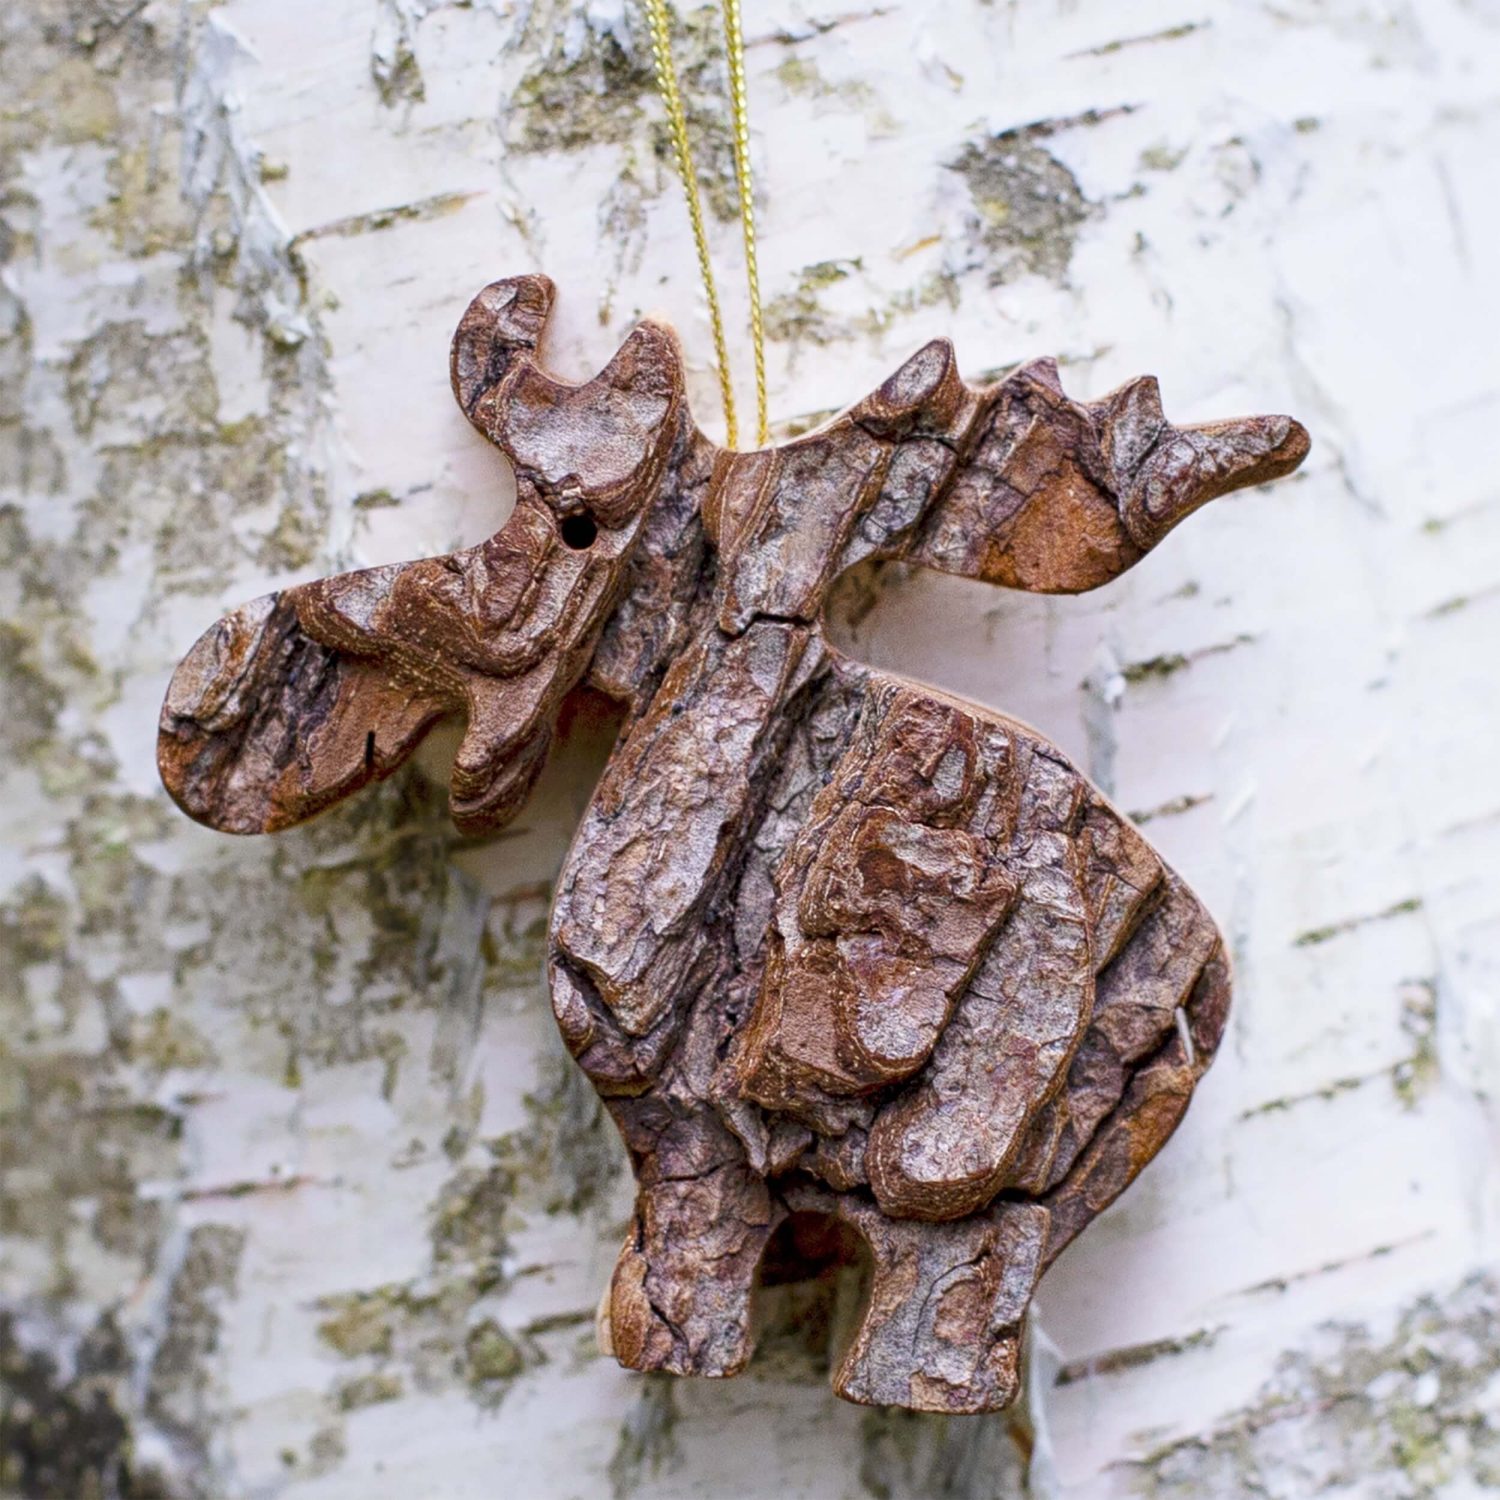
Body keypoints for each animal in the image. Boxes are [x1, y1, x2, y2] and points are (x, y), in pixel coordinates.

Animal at [158, 273, 1309, 1412]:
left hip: (1000, 1212)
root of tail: (1211, 986)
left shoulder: (687, 1149)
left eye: (576, 525)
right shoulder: (689, 1153)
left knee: (962, 1297)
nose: (193, 709)